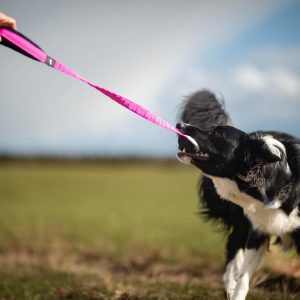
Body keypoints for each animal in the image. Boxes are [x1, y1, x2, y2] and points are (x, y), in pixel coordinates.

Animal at [177, 91, 298, 300]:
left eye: (217, 133)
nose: (179, 125)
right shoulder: (258, 230)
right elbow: (243, 277)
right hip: (242, 223)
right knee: (234, 250)